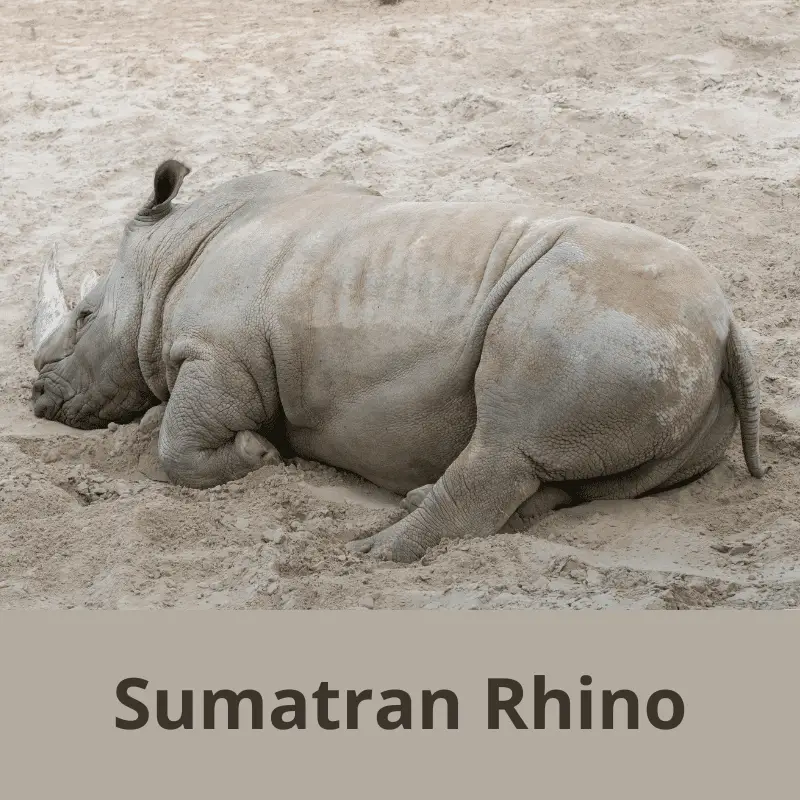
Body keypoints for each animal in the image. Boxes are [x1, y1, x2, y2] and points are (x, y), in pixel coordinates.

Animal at [32, 159, 768, 564]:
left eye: (85, 316)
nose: (36, 396)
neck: (167, 256)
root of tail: (724, 325)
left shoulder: (222, 352)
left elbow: (178, 446)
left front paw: (259, 454)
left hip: (602, 320)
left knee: (509, 440)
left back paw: (373, 554)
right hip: (664, 354)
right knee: (584, 473)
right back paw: (411, 509)